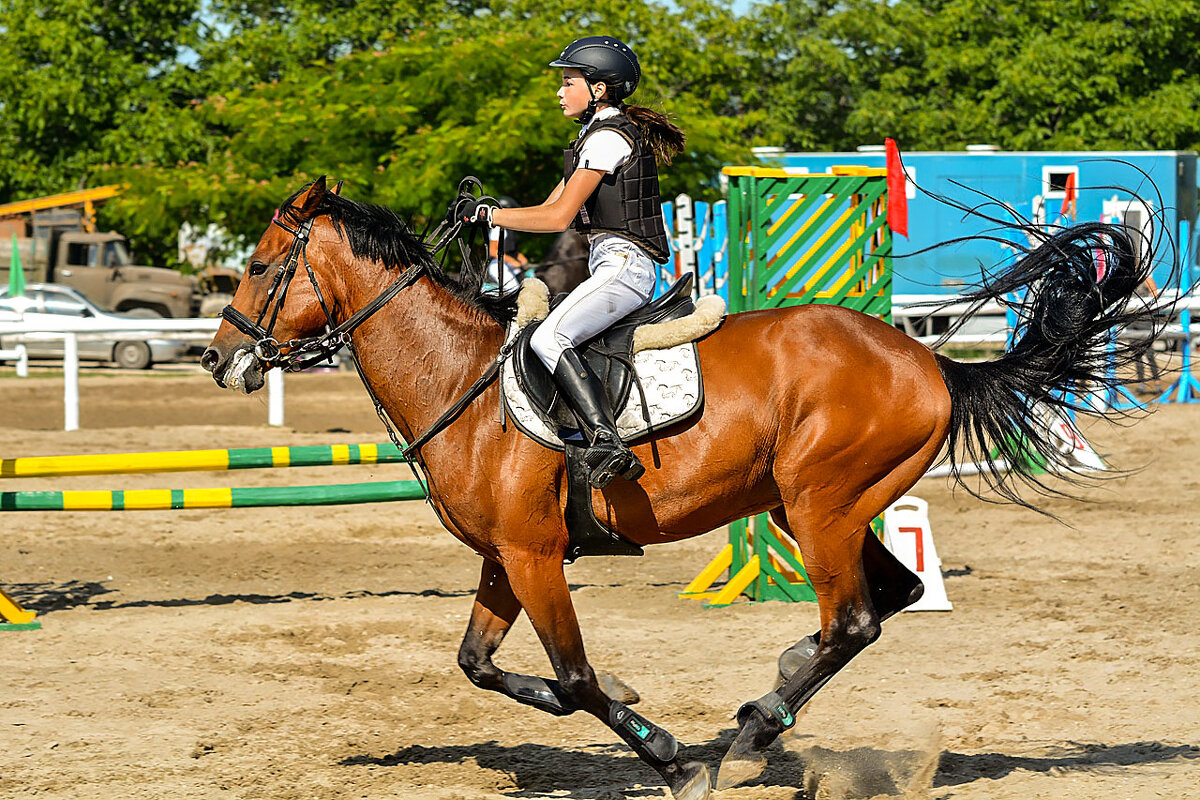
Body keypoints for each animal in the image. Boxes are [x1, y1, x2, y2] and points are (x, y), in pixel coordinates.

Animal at [204, 176, 1161, 800]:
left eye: (259, 266)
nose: (219, 359)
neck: (460, 382)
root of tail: (927, 361)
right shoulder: (503, 558)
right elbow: (481, 665)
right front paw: (629, 709)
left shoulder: (535, 555)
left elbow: (577, 678)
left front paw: (670, 756)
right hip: (813, 507)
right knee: (888, 598)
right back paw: (773, 695)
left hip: (819, 505)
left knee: (854, 618)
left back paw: (750, 737)